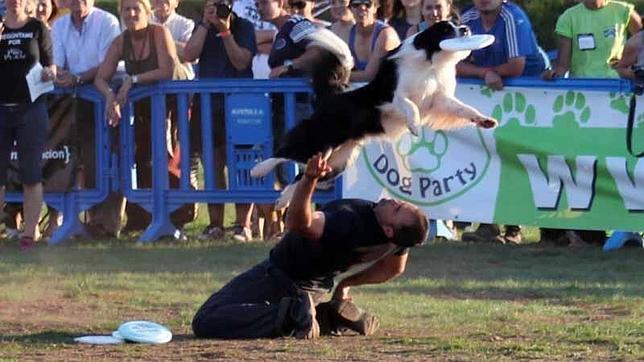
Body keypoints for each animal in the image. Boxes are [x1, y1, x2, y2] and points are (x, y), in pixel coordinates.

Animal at [252, 21, 498, 208]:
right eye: (446, 29)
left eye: (457, 24)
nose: (465, 29)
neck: (430, 63)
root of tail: (333, 96)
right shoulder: (394, 95)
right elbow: (410, 106)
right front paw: (414, 125)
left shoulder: (439, 101)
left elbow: (463, 109)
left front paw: (486, 121)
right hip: (323, 138)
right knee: (287, 152)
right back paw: (258, 170)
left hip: (336, 161)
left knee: (304, 174)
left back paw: (283, 200)